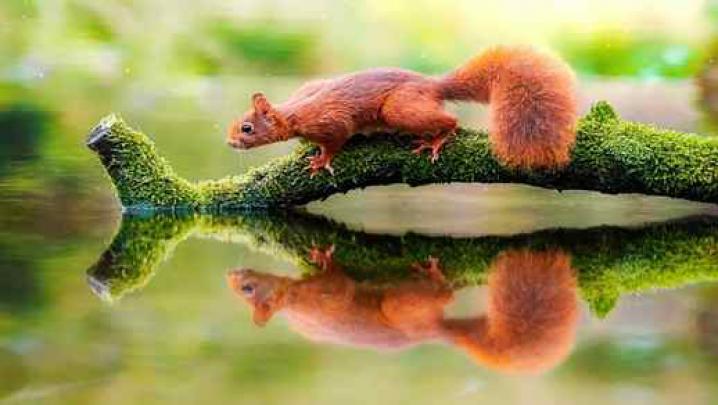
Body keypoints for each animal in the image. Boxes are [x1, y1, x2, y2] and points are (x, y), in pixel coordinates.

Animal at [227, 47, 577, 176]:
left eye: (247, 128)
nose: (230, 143)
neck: (294, 112)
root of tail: (433, 85)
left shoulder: (330, 121)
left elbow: (336, 139)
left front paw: (321, 160)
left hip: (400, 109)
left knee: (450, 119)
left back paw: (437, 140)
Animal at [227, 246, 578, 374]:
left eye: (248, 290)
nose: (231, 276)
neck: (293, 299)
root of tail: (433, 332)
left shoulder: (322, 299)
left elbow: (338, 289)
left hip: (403, 308)